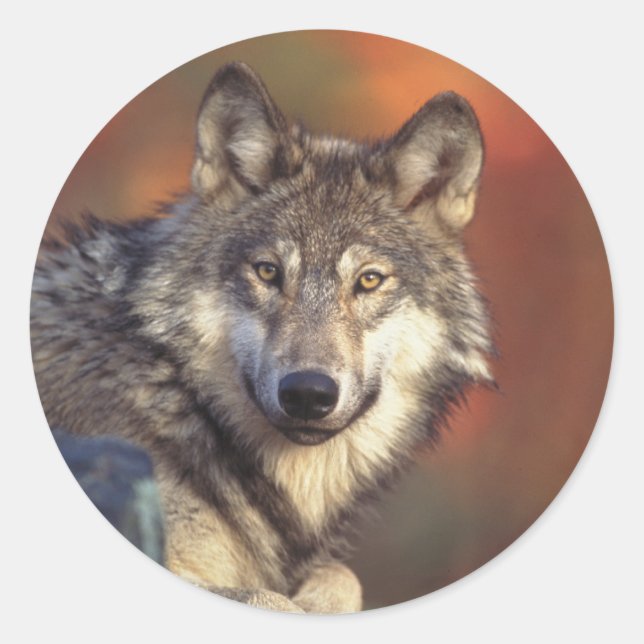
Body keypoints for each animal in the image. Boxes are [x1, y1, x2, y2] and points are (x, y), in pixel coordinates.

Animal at [31, 62, 493, 613]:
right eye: (268, 272)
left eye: (368, 280)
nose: (308, 393)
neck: (176, 395)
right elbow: (269, 597)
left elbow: (343, 577)